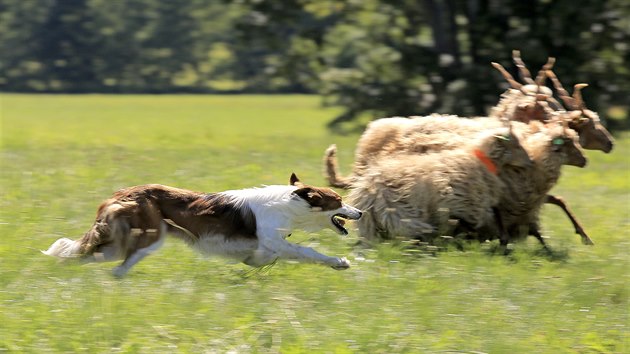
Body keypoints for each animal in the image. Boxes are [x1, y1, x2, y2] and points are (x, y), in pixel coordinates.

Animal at [43, 174, 360, 276]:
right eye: (338, 199)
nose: (359, 212)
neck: (289, 204)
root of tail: (120, 194)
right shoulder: (276, 242)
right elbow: (308, 252)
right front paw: (339, 262)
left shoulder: (264, 251)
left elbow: (259, 259)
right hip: (149, 237)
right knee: (115, 269)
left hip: (117, 245)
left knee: (88, 259)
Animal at [348, 124, 536, 243]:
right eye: (517, 146)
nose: (531, 162)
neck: (481, 162)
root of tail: (367, 192)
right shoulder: (459, 203)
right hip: (400, 213)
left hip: (373, 223)